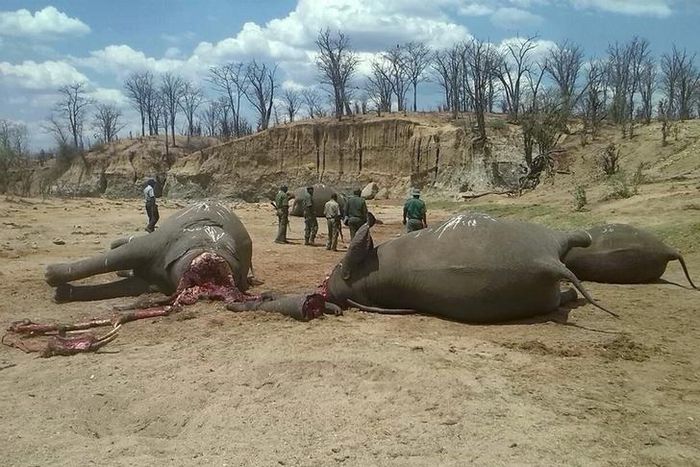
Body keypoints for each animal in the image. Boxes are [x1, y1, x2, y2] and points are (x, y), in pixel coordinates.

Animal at [231, 212, 618, 323]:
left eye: (333, 269)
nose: (320, 287)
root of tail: (547, 263)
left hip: (536, 244)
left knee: (567, 244)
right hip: (534, 269)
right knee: (560, 283)